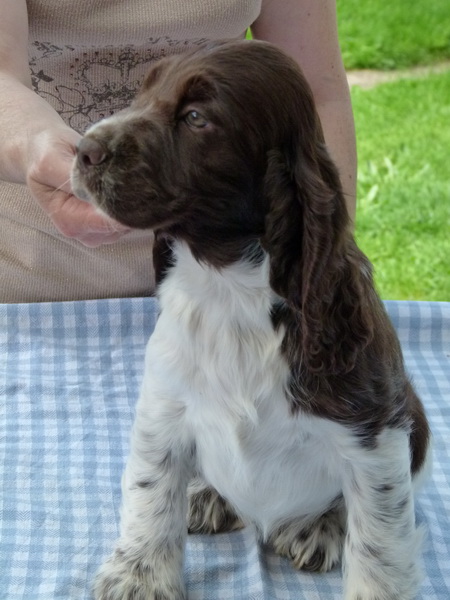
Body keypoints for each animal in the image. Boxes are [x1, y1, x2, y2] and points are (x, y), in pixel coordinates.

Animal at [72, 41, 430, 600]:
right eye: (141, 95)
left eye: (197, 118)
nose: (83, 149)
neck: (229, 291)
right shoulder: (163, 408)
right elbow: (151, 493)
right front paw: (139, 575)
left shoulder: (374, 433)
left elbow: (379, 542)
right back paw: (206, 494)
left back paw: (320, 526)